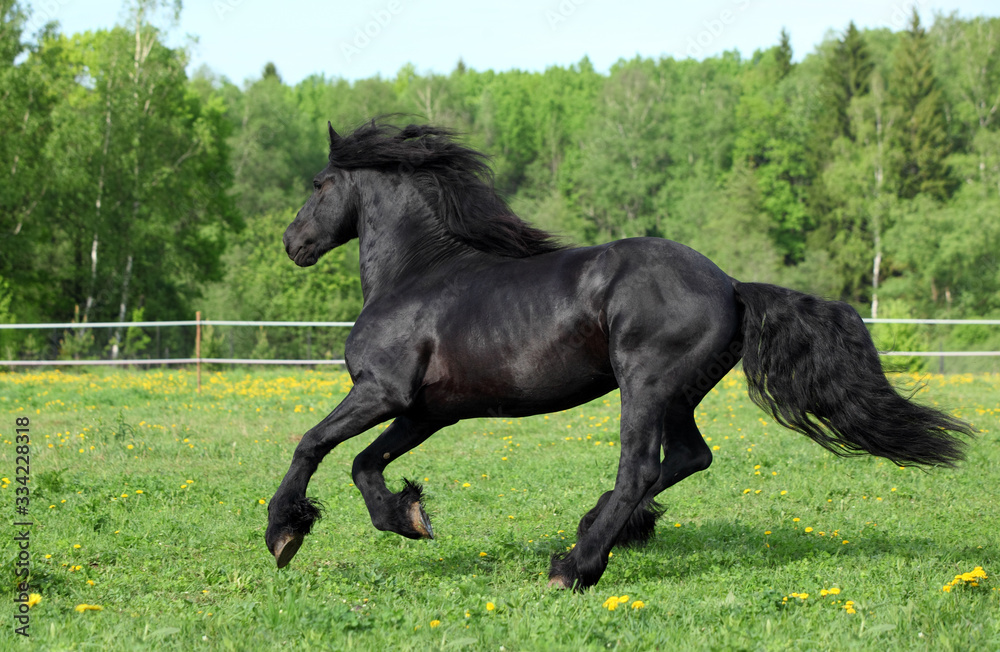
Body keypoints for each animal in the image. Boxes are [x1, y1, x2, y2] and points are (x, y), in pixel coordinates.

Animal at [266, 118, 968, 592]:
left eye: (319, 184)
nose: (293, 243)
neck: (416, 276)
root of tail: (731, 286)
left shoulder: (381, 391)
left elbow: (311, 443)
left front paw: (284, 533)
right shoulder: (428, 410)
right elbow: (364, 464)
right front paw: (409, 517)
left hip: (645, 384)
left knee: (640, 468)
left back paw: (574, 566)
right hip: (676, 394)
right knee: (685, 458)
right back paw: (595, 530)